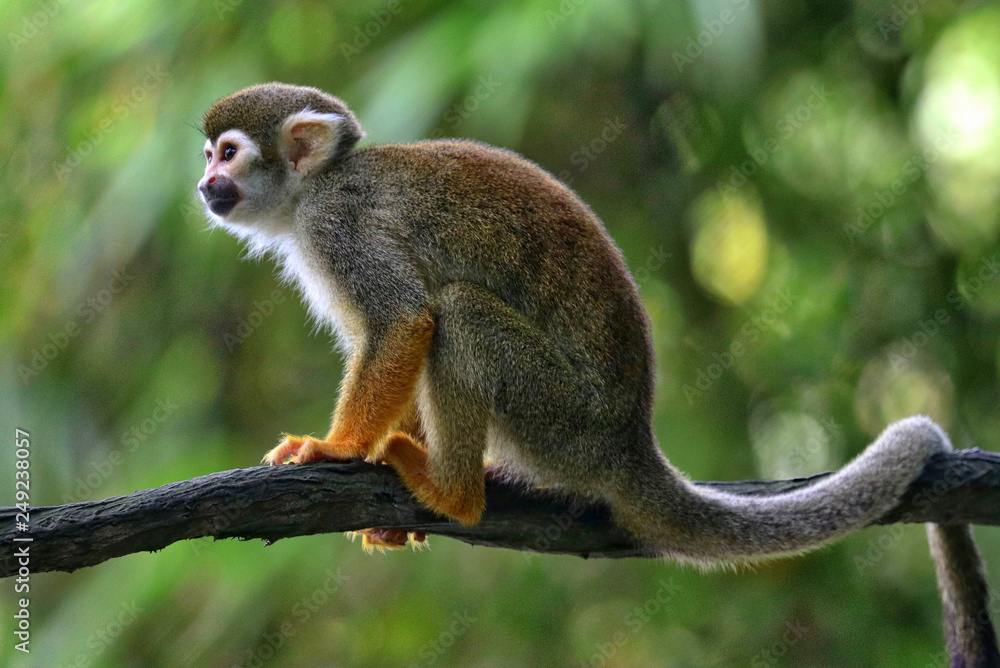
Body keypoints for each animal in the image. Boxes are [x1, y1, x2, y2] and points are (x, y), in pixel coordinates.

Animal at [197, 83, 1000, 664]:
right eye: (207, 155)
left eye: (227, 154)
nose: (205, 184)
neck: (315, 189)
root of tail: (628, 441)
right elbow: (403, 335)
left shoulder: (340, 226)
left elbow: (405, 322)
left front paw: (335, 448)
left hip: (559, 414)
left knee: (460, 311)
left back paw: (453, 490)